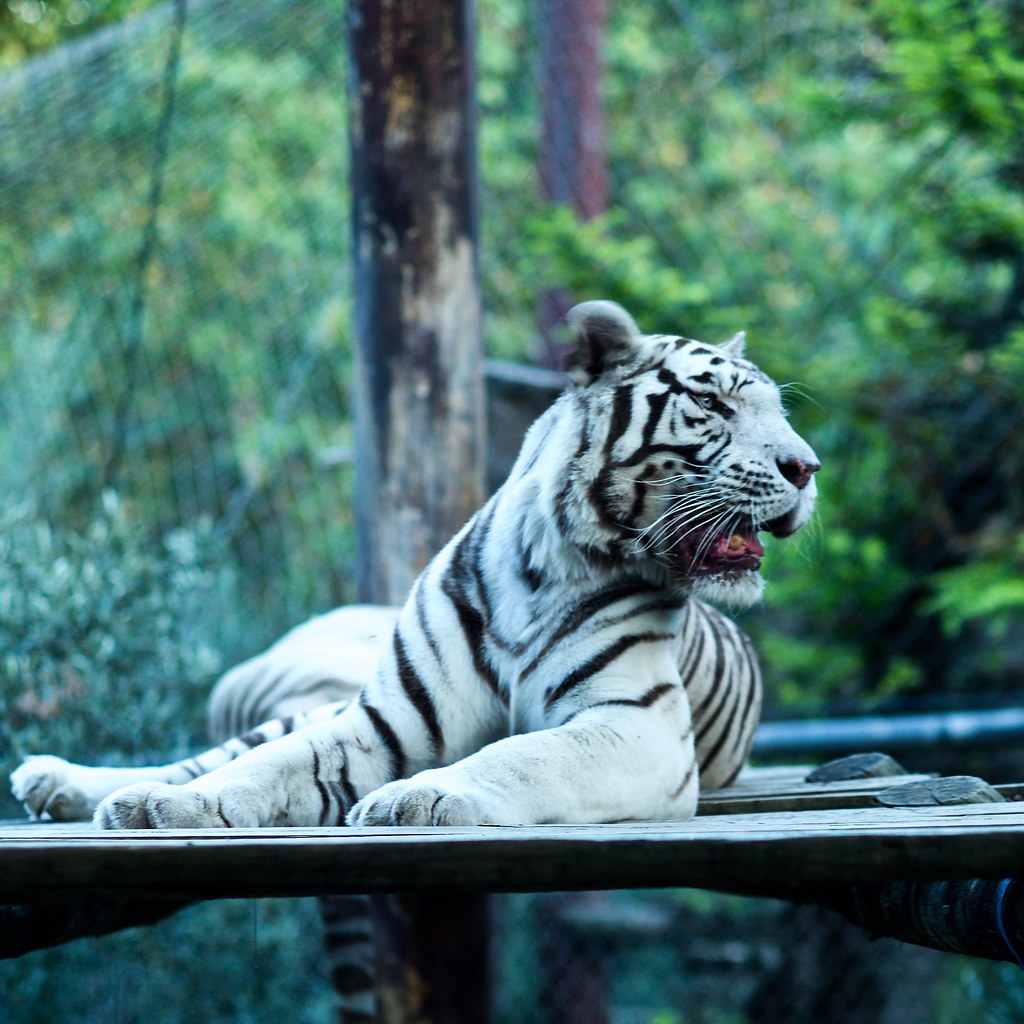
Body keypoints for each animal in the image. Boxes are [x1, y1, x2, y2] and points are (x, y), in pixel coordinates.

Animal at [11, 299, 818, 834]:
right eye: (713, 403)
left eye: (777, 411)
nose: (808, 467)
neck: (544, 566)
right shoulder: (382, 723)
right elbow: (263, 769)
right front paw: (177, 809)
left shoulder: (634, 726)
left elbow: (520, 756)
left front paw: (417, 798)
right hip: (314, 706)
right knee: (208, 755)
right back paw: (77, 783)